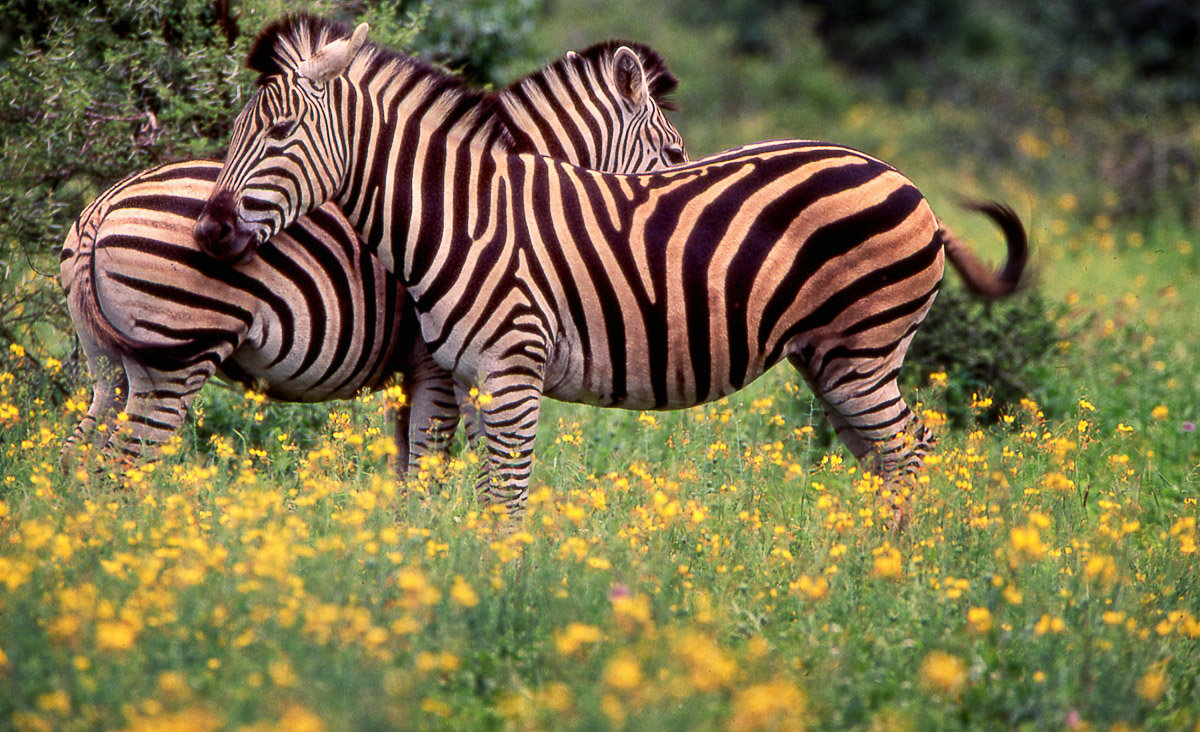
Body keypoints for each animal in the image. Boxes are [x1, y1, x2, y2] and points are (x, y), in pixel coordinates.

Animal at [59, 36, 687, 471]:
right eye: (675, 154)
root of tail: (101, 210)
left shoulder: (415, 375)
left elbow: (404, 472)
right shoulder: (438, 370)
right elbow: (428, 470)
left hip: (109, 368)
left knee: (78, 459)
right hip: (174, 359)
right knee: (122, 466)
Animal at [196, 17, 1027, 519]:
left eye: (278, 133)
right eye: (242, 131)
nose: (209, 228)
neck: (460, 215)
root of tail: (910, 186)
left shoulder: (503, 370)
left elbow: (494, 499)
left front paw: (494, 594)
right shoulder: (462, 374)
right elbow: (458, 490)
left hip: (863, 349)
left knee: (912, 452)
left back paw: (898, 579)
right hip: (833, 360)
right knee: (889, 459)